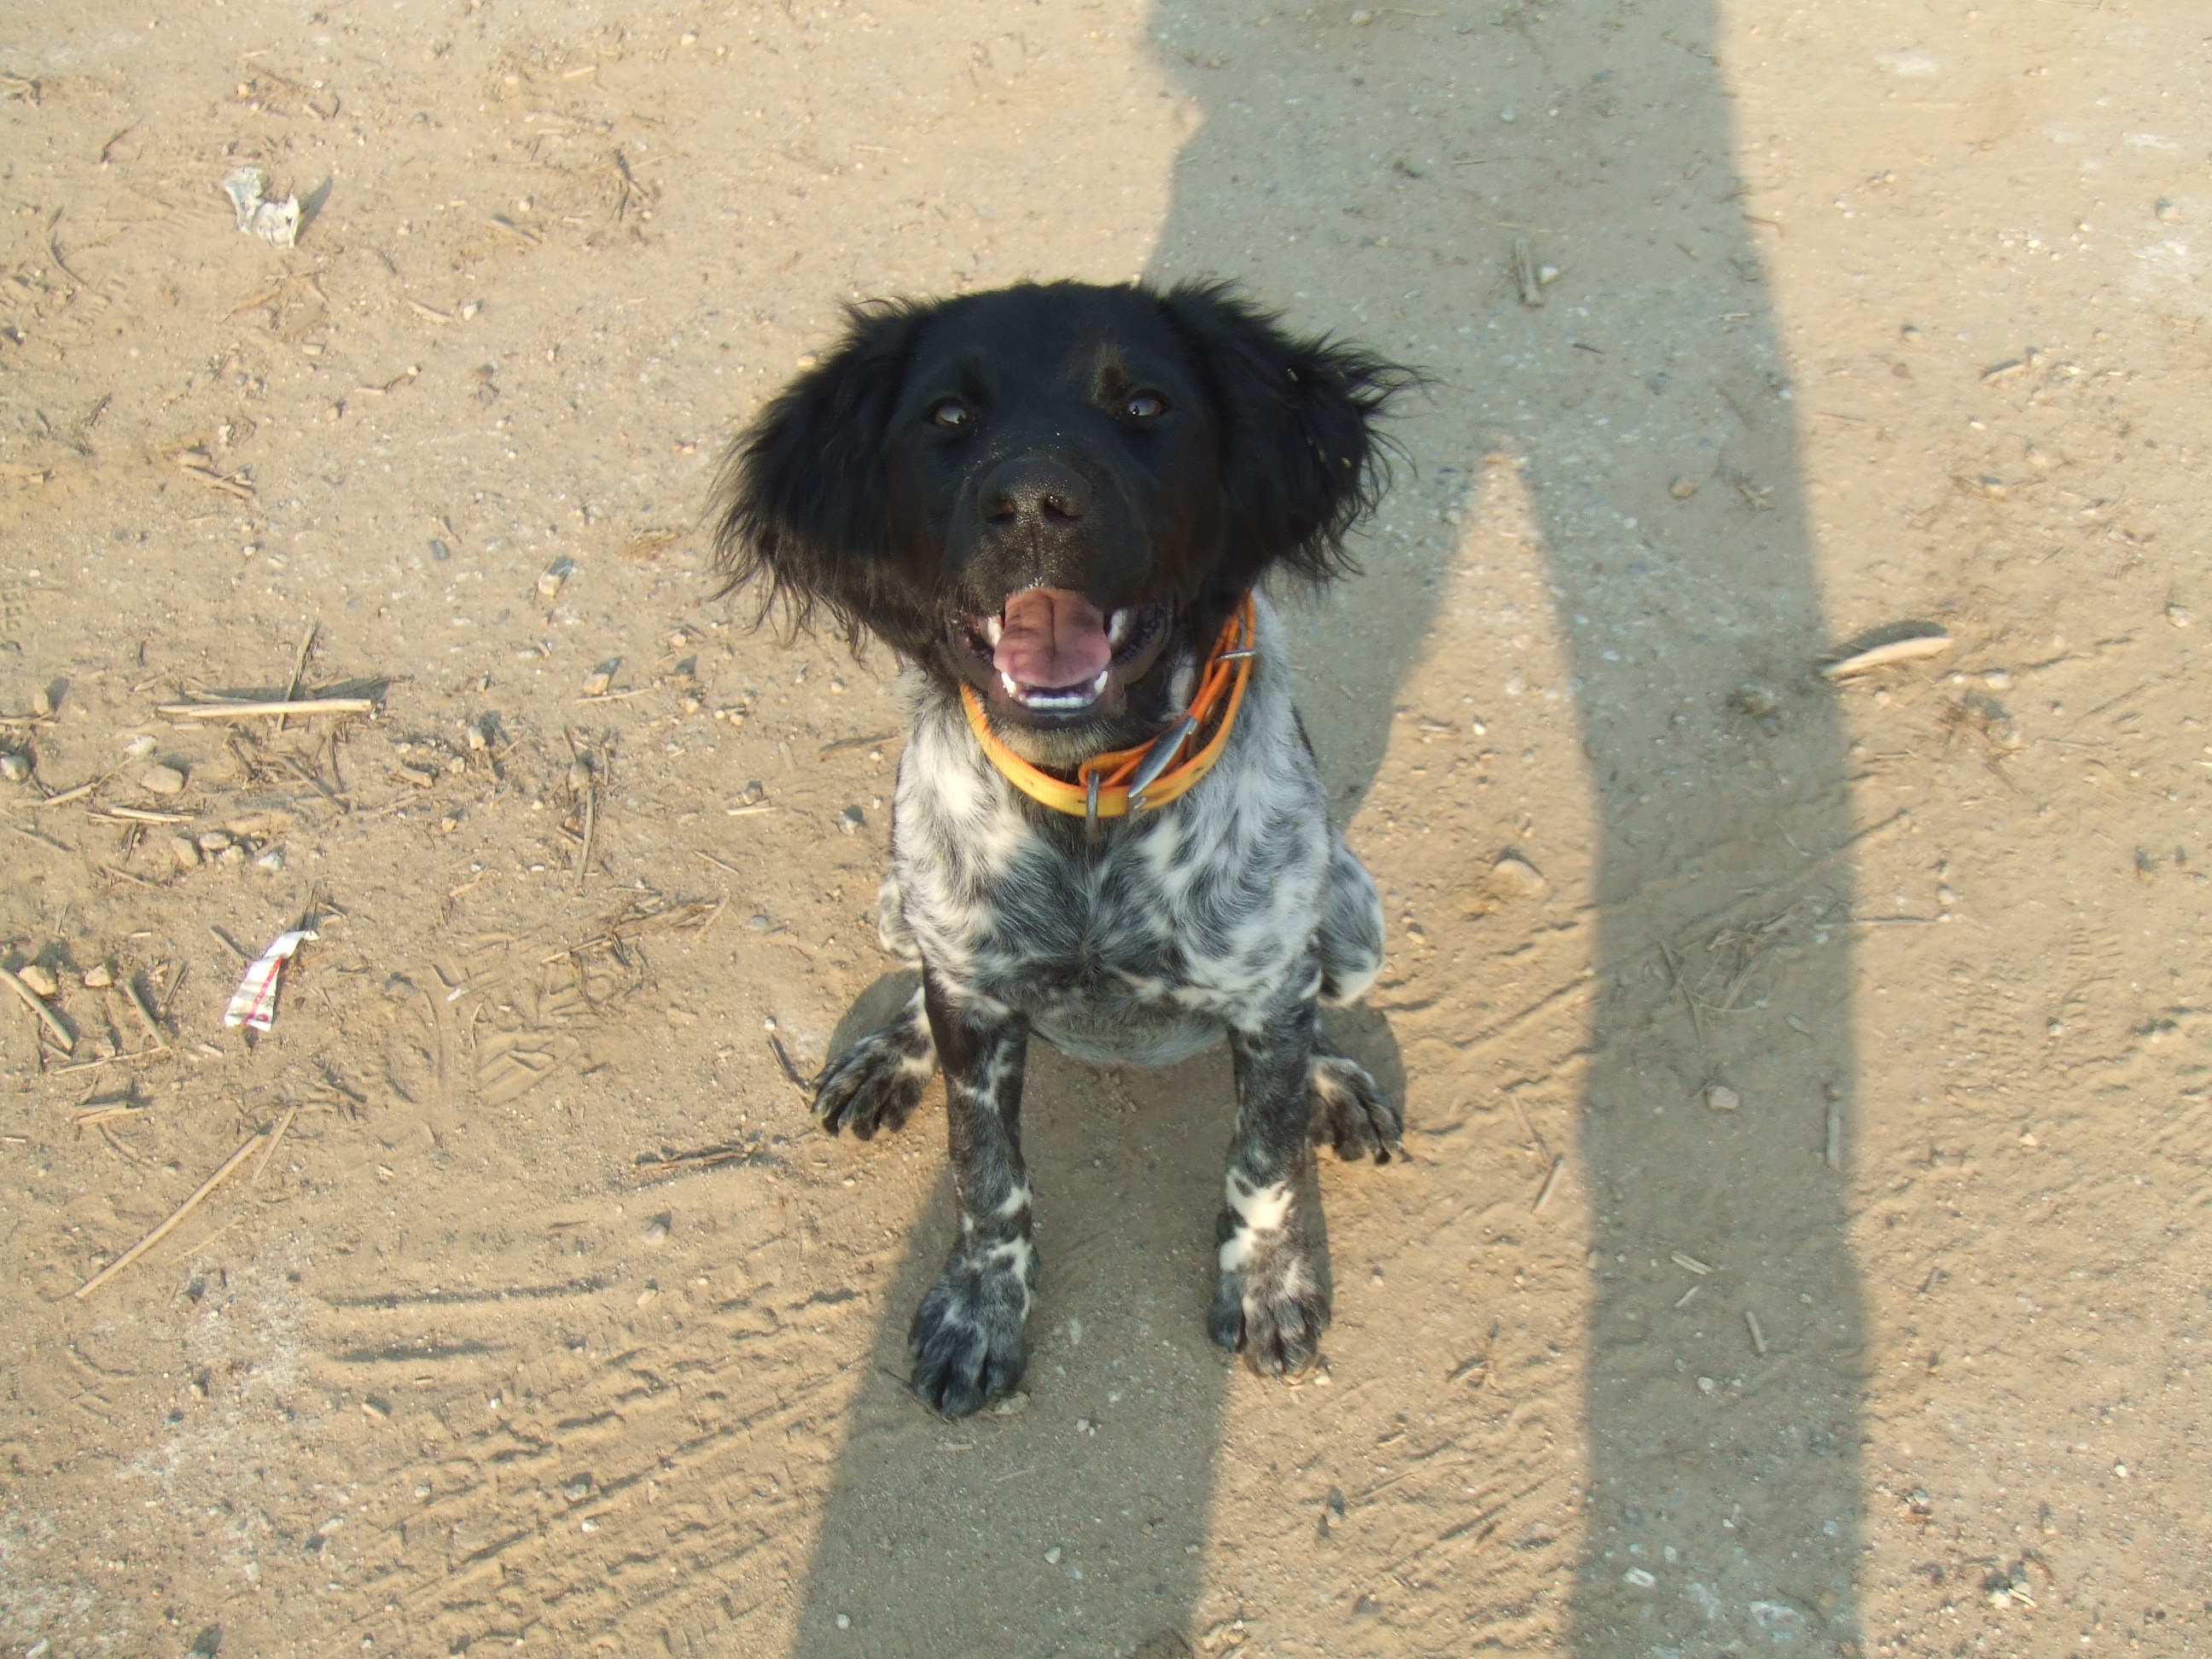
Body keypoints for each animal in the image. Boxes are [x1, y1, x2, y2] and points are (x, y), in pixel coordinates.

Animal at [712, 280, 1411, 1417]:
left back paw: (1333, 1081)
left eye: (1146, 406)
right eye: (948, 415)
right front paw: (981, 1313)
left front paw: (1266, 1285)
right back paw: (891, 1054)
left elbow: (1261, 1166)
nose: (1036, 504)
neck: (1089, 800)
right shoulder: (972, 991)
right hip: (897, 900)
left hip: (1354, 917)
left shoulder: (1270, 988)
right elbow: (985, 1176)